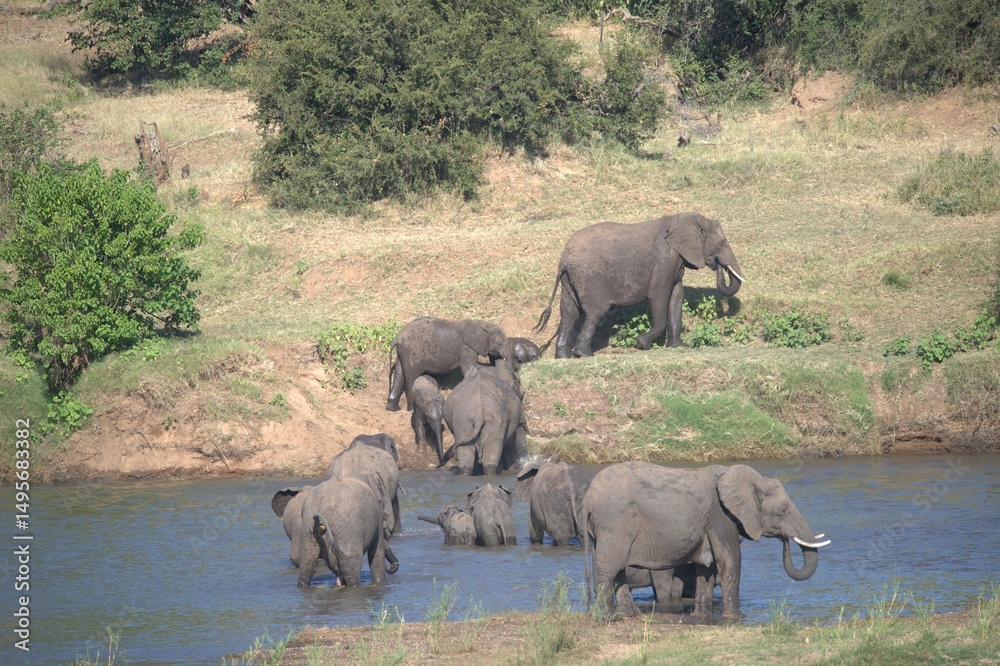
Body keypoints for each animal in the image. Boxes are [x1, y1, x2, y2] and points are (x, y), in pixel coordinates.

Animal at [534, 213, 744, 358]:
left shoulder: (675, 261)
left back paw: (564, 356)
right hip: (589, 276)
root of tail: (563, 260)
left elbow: (676, 297)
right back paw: (584, 354)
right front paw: (643, 343)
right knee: (595, 312)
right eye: (721, 244)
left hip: (571, 278)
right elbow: (658, 295)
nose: (718, 265)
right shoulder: (664, 259)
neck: (681, 219)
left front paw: (677, 347)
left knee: (568, 313)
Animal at [583, 462, 830, 619]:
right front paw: (737, 617)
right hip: (615, 523)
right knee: (610, 568)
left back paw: (629, 615)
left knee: (615, 568)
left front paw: (701, 615)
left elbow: (707, 566)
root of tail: (588, 498)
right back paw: (607, 617)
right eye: (783, 510)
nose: (785, 541)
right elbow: (729, 560)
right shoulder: (721, 516)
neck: (754, 479)